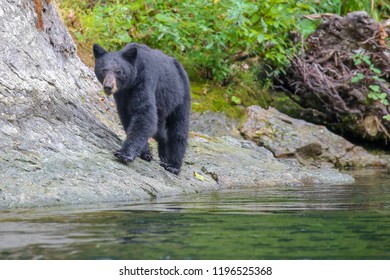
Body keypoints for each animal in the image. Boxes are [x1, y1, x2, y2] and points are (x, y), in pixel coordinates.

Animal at [93, 43, 190, 175]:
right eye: (103, 70)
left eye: (119, 72)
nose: (108, 87)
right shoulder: (122, 96)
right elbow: (128, 118)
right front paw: (145, 153)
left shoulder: (145, 81)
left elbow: (144, 114)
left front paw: (124, 154)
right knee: (160, 131)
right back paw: (163, 154)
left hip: (180, 96)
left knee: (179, 129)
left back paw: (173, 165)